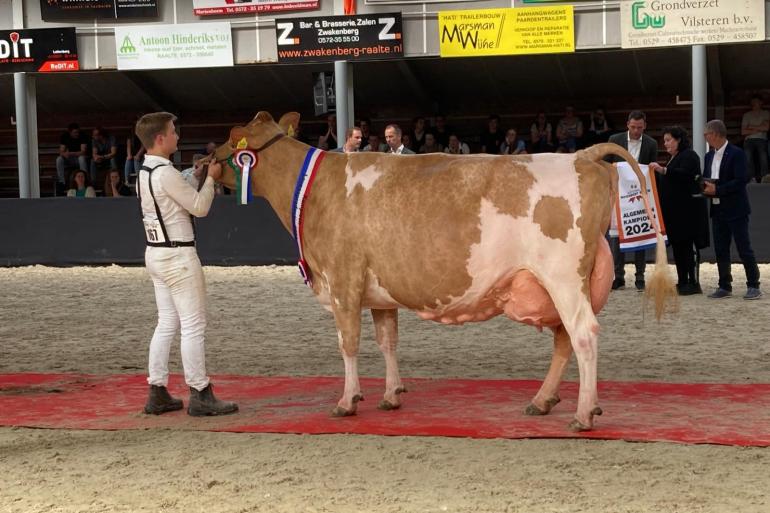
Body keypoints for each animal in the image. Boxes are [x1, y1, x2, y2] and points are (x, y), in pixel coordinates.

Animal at [208, 113, 672, 432]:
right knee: (563, 340)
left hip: (563, 277)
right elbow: (387, 341)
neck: (314, 190)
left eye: (230, 140)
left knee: (583, 335)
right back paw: (542, 401)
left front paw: (347, 400)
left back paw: (583, 413)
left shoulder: (342, 280)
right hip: (554, 283)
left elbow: (348, 344)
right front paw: (391, 395)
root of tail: (581, 155)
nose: (202, 161)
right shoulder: (380, 292)